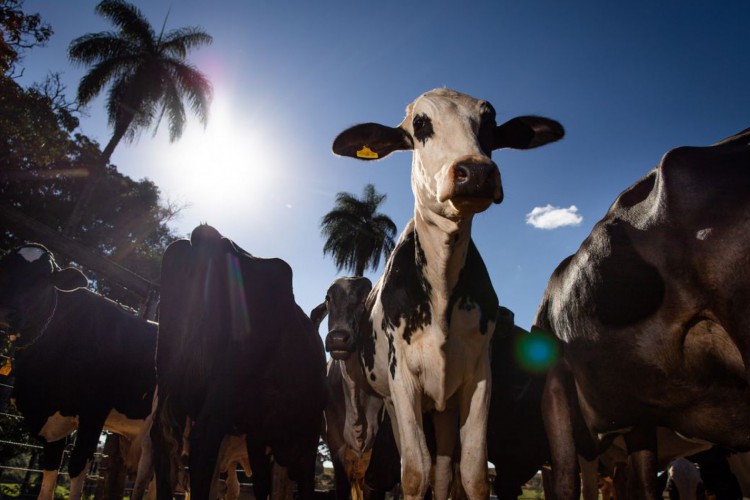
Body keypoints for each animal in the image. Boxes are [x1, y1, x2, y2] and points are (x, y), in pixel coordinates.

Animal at [0, 244, 156, 500]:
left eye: (44, 278)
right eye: (4, 267)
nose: (5, 311)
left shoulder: (94, 411)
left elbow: (76, 466)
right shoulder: (52, 421)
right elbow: (49, 474)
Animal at [151, 225, 328, 500]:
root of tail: (208, 237)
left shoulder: (258, 434)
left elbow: (262, 485)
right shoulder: (303, 436)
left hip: (170, 376)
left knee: (163, 441)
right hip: (227, 384)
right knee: (204, 440)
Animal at [328, 88, 564, 498]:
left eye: (489, 122)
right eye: (421, 123)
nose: (477, 172)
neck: (440, 289)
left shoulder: (478, 378)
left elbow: (471, 473)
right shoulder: (403, 382)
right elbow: (413, 473)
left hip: (445, 406)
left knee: (442, 469)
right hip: (393, 403)